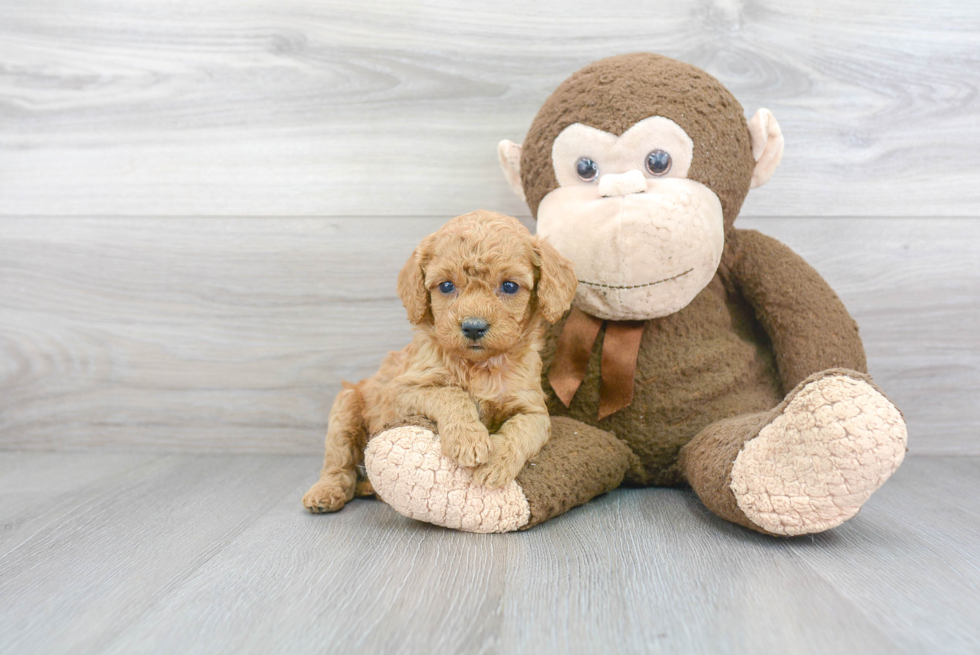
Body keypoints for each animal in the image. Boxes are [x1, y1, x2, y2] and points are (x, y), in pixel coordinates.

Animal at [298, 210, 576, 512]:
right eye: (446, 286)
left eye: (510, 286)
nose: (473, 327)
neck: (479, 366)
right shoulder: (402, 391)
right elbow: (451, 393)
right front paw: (468, 439)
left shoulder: (534, 411)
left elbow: (520, 430)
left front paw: (495, 463)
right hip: (346, 407)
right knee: (338, 463)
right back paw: (326, 492)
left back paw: (369, 487)